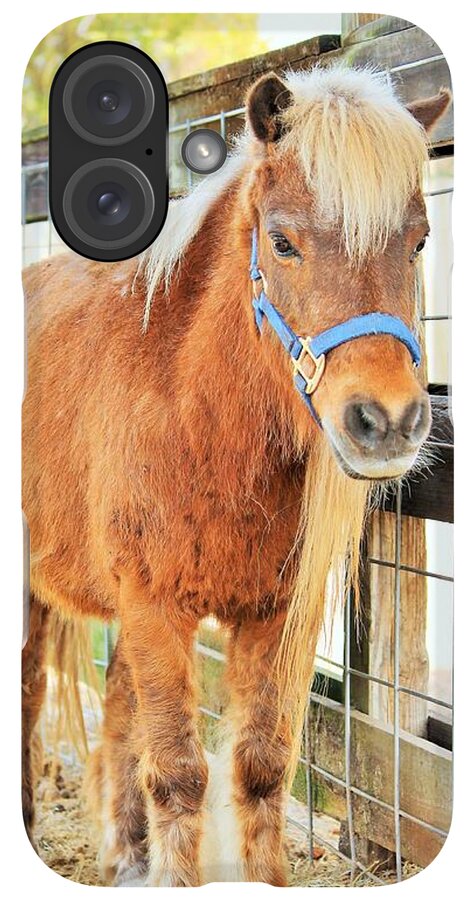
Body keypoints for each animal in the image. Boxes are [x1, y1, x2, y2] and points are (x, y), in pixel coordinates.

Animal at [22, 65, 450, 886]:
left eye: (419, 240)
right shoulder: (155, 606)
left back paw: (127, 857)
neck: (197, 417)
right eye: (282, 242)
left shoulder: (276, 615)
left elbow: (260, 767)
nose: (386, 421)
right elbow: (179, 773)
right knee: (30, 690)